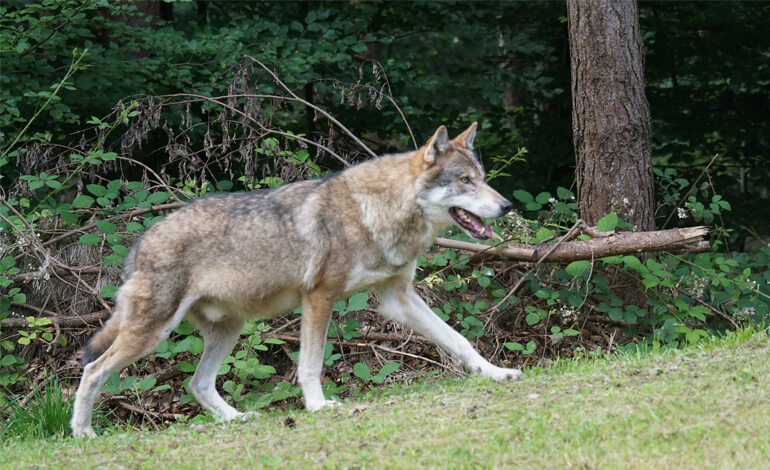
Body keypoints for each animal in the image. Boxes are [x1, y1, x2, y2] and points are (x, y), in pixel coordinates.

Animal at [72, 122, 520, 436]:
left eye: (482, 177)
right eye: (465, 181)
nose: (507, 206)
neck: (376, 210)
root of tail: (140, 241)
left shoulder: (399, 298)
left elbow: (459, 340)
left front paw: (496, 374)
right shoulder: (319, 297)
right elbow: (311, 364)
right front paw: (318, 407)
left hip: (228, 329)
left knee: (197, 384)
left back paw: (236, 419)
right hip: (153, 334)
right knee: (93, 371)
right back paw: (84, 433)